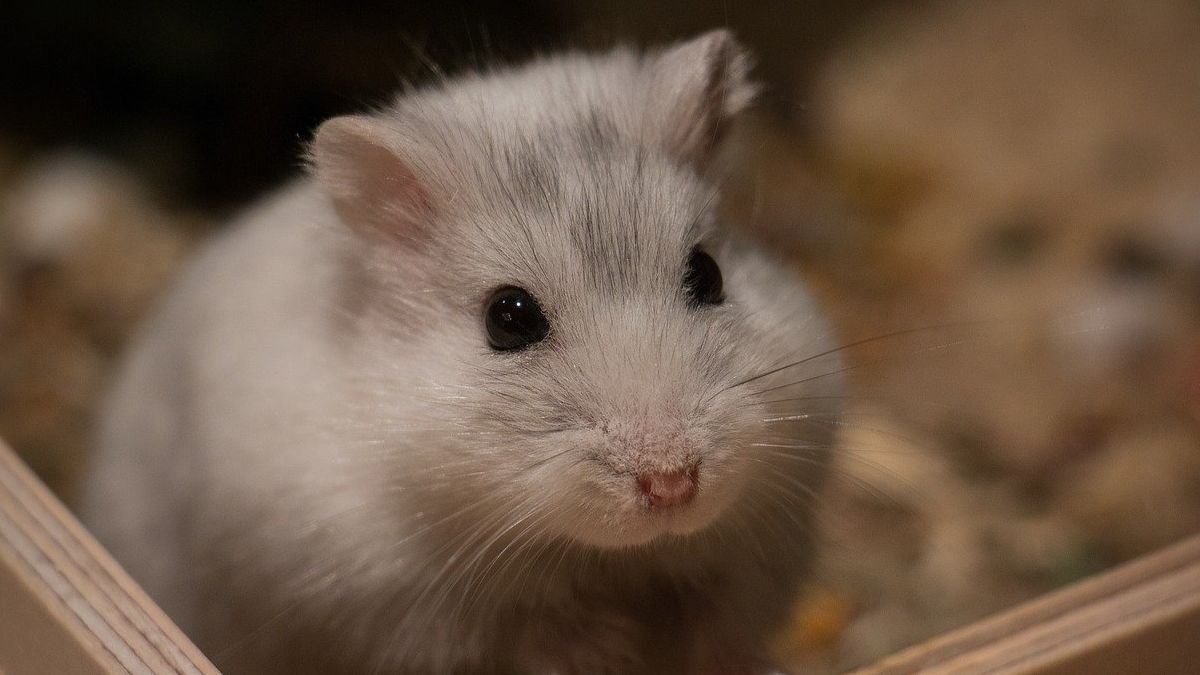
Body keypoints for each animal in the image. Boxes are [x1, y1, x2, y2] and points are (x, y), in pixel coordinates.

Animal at [79, 31, 841, 674]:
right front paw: (610, 644)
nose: (674, 484)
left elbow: (716, 616)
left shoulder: (761, 538)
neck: (606, 555)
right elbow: (526, 630)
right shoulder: (393, 602)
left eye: (708, 273)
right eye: (508, 318)